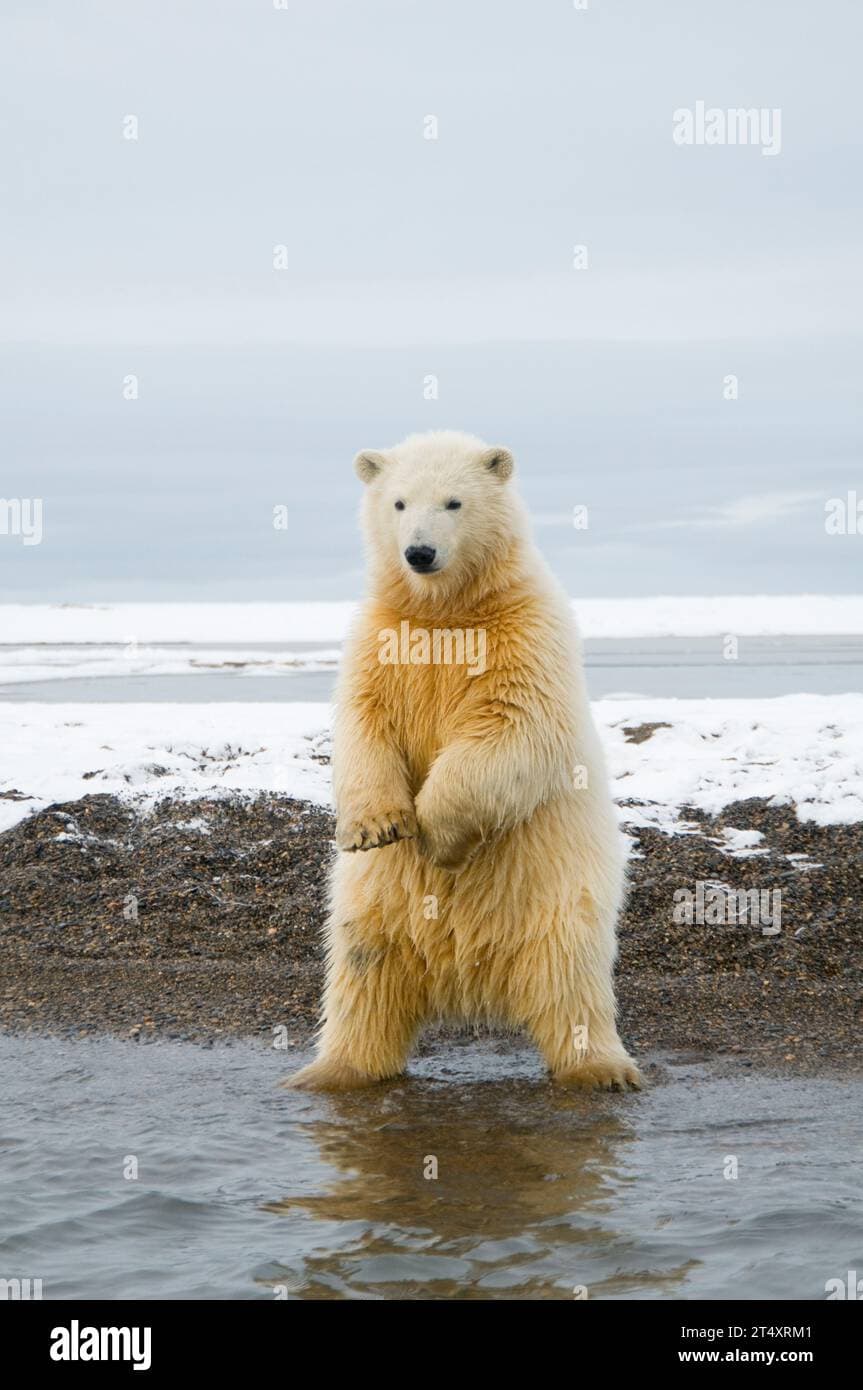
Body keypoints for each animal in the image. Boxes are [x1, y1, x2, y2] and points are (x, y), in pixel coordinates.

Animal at [285, 430, 641, 1091]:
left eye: (454, 502)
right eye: (398, 502)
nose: (419, 553)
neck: (446, 613)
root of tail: (468, 982)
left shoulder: (526, 638)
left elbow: (512, 728)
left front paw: (438, 837)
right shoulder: (381, 641)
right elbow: (362, 724)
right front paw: (376, 826)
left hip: (554, 899)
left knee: (571, 984)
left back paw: (602, 1069)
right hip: (376, 907)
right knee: (361, 975)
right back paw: (332, 1071)